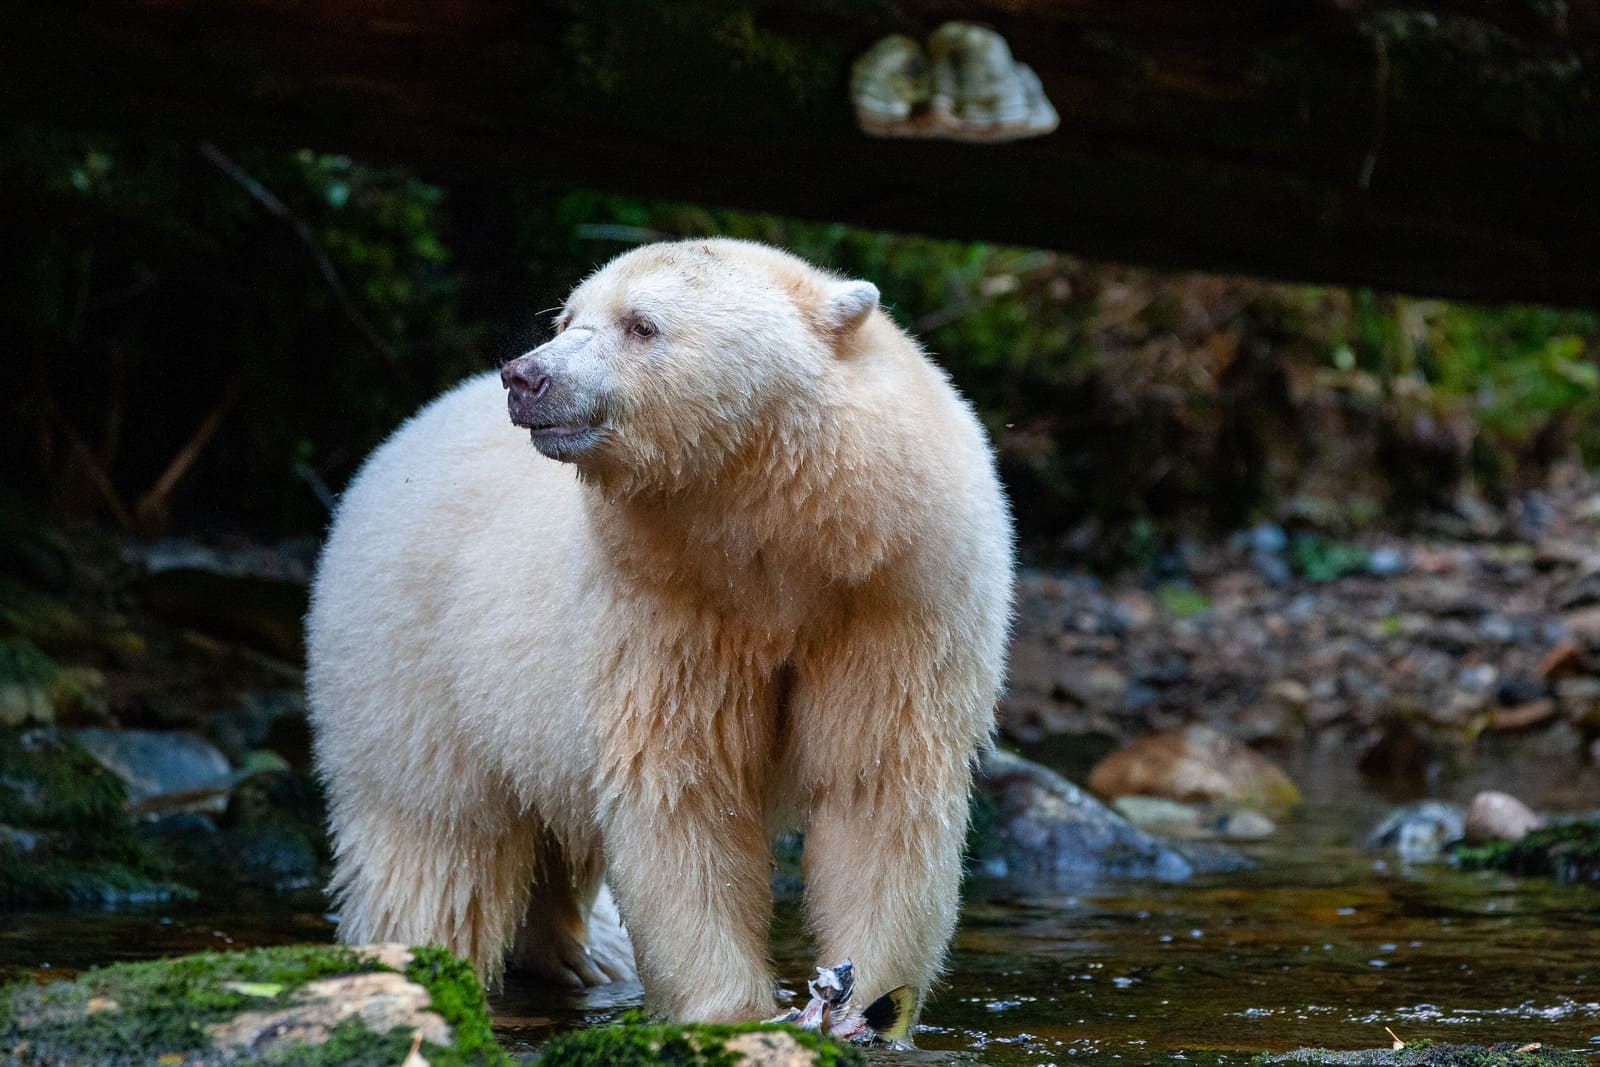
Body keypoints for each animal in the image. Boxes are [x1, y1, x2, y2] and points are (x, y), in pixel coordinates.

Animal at [302, 238, 1011, 1023]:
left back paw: (580, 957)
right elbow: (683, 789)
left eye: (641, 324)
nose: (526, 375)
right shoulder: (661, 604)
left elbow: (875, 782)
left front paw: (865, 1006)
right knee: (434, 841)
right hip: (410, 654)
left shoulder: (896, 594)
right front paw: (732, 1012)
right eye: (567, 316)